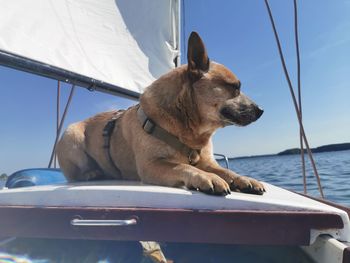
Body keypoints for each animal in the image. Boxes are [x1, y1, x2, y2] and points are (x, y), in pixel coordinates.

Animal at [56, 31, 266, 196]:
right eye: (235, 88)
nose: (261, 110)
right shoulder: (152, 165)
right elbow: (183, 166)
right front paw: (207, 178)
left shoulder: (208, 162)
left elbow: (226, 172)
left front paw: (244, 179)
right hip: (71, 135)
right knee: (76, 174)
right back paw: (92, 173)